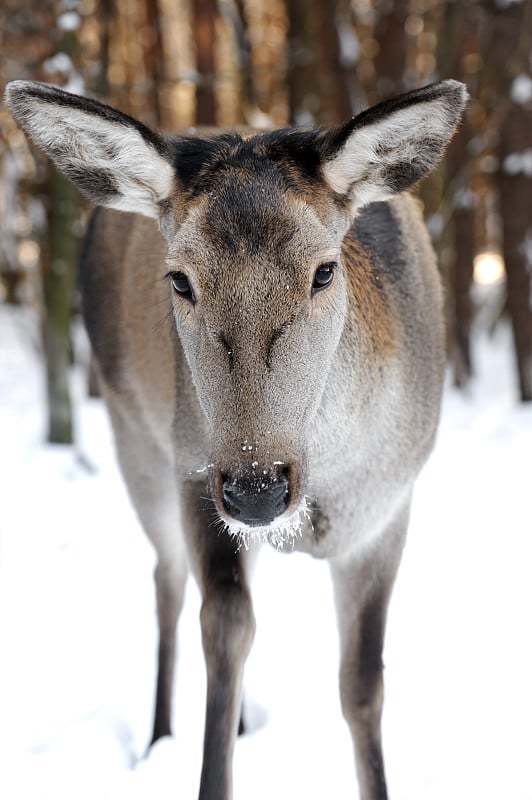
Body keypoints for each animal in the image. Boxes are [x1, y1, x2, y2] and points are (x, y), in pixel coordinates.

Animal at [6, 76, 468, 800]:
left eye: (325, 270)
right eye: (179, 278)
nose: (257, 487)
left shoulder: (389, 508)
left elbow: (363, 685)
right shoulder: (197, 469)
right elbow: (224, 630)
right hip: (133, 431)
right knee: (168, 580)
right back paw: (161, 734)